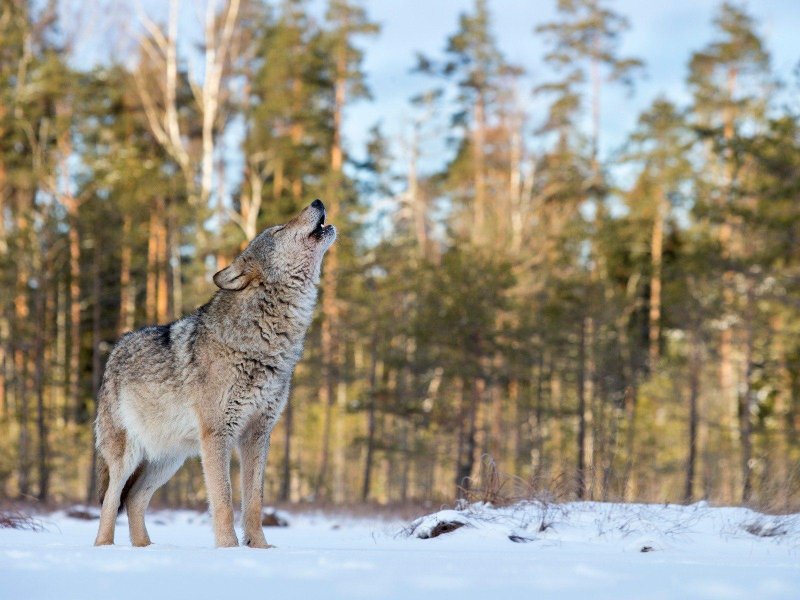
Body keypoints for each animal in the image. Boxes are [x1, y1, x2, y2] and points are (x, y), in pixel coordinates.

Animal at [95, 199, 336, 548]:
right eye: (279, 230)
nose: (317, 202)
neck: (265, 342)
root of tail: (115, 350)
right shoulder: (218, 434)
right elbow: (223, 499)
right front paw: (228, 548)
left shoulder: (258, 435)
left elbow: (254, 501)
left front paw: (260, 548)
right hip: (128, 456)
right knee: (111, 500)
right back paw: (105, 548)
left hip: (170, 460)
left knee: (134, 499)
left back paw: (145, 549)